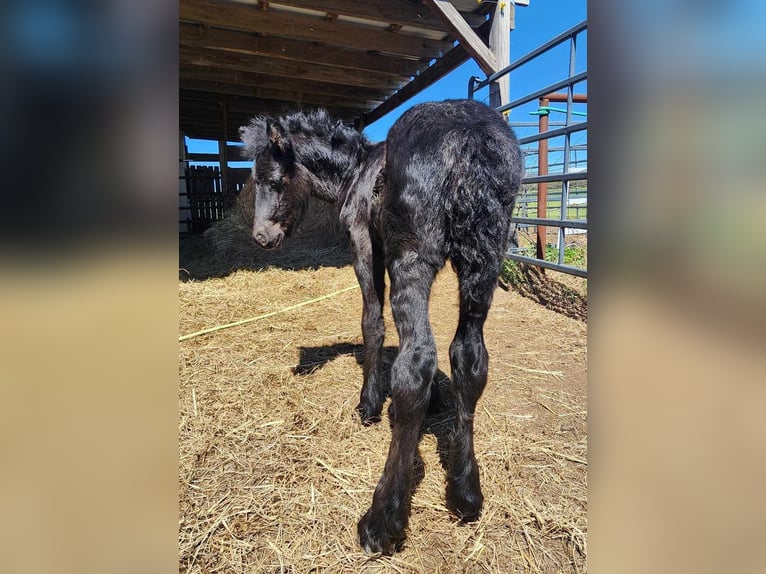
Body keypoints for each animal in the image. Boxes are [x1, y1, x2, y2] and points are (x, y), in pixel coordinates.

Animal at [240, 101, 524, 556]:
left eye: (274, 180)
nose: (262, 237)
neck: (356, 171)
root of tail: (471, 138)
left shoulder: (363, 243)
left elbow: (371, 322)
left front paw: (368, 403)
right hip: (485, 263)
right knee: (470, 357)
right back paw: (465, 493)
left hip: (411, 257)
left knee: (415, 365)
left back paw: (382, 518)